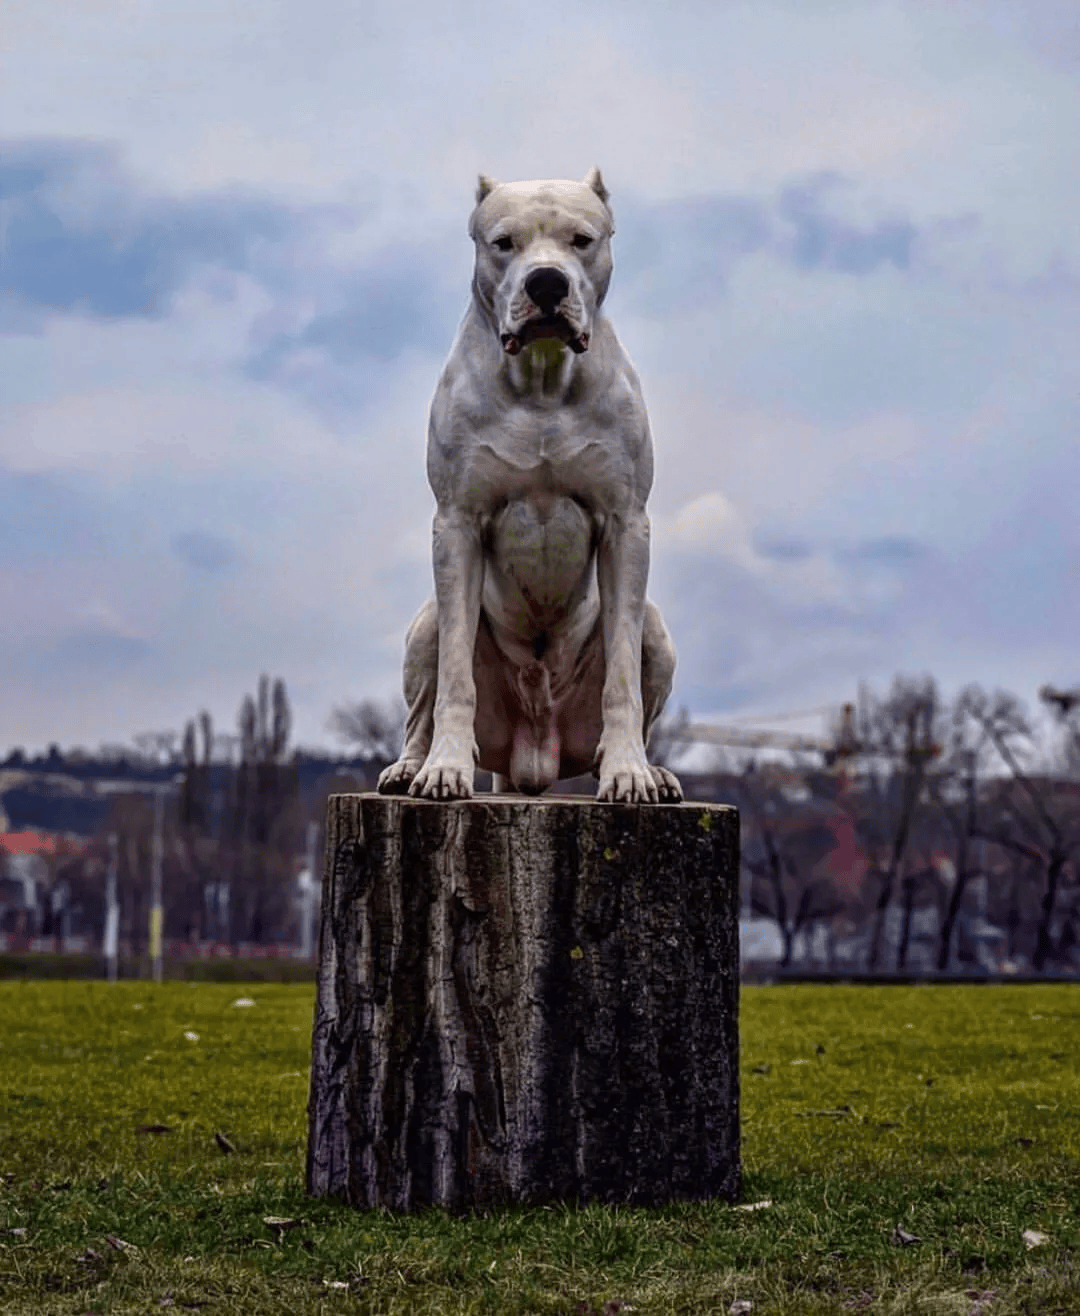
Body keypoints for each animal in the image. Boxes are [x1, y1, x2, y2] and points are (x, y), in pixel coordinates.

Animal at [381, 164, 684, 800]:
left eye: (582, 240)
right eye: (503, 243)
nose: (546, 282)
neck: (543, 378)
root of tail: (533, 759)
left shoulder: (626, 525)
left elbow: (622, 678)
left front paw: (628, 771)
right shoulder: (457, 524)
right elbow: (454, 680)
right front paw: (445, 768)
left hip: (658, 633)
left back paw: (654, 770)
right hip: (425, 626)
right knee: (422, 706)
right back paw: (410, 767)